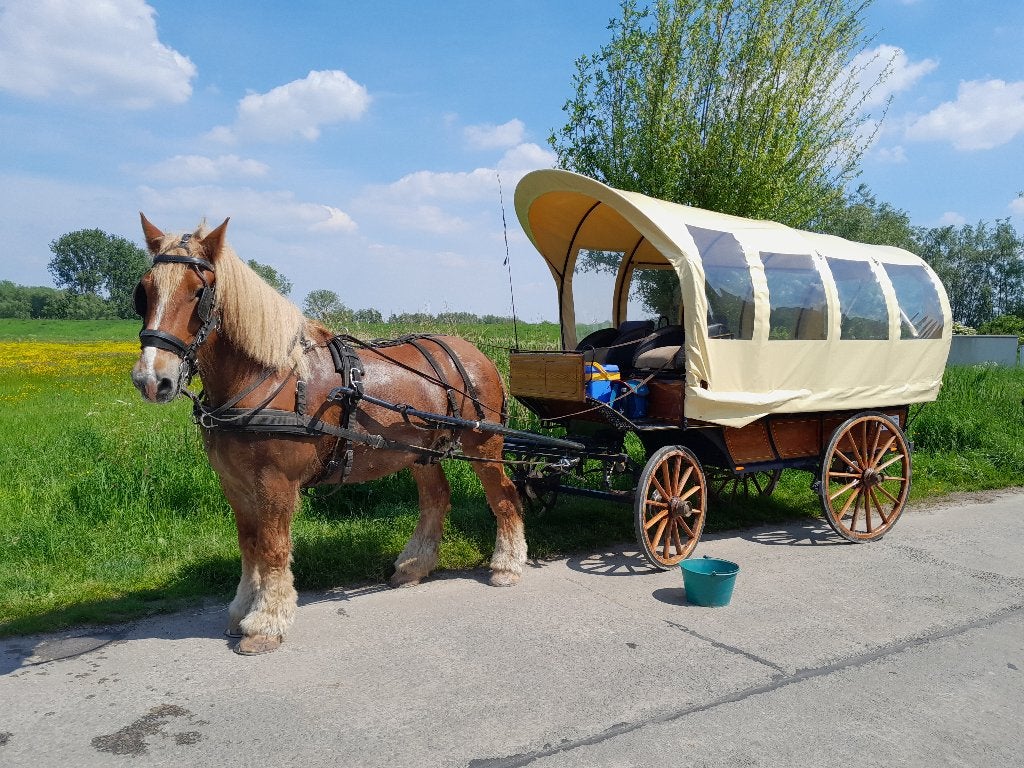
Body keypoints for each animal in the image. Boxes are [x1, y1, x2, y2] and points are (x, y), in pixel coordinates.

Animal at [130, 214, 526, 655]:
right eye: (144, 292)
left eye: (199, 292)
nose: (152, 380)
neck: (269, 377)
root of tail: (476, 354)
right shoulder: (235, 484)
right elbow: (249, 544)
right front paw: (242, 609)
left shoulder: (276, 483)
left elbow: (272, 547)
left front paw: (266, 622)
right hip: (420, 450)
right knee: (436, 500)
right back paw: (413, 565)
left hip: (483, 444)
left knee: (504, 496)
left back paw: (507, 565)